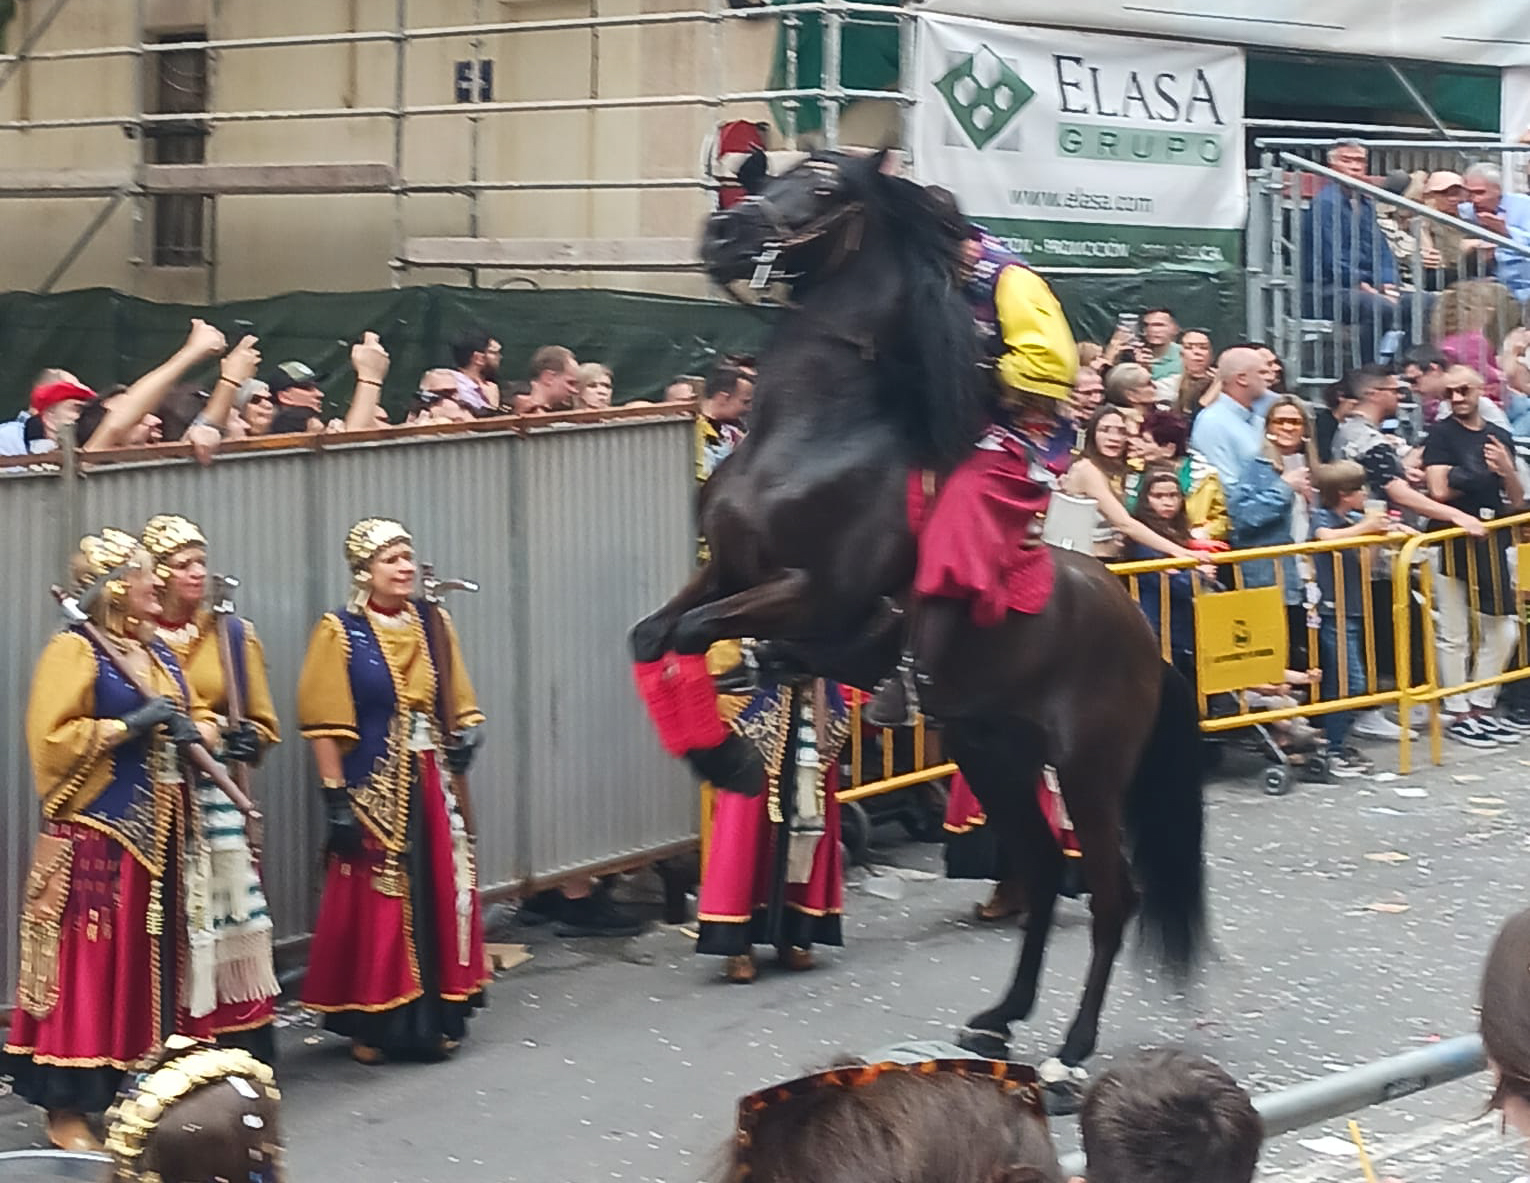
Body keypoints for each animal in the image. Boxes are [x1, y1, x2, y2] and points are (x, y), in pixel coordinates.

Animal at [633, 149, 1205, 1095]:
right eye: (773, 168)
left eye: (825, 188)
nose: (721, 231)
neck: (812, 435)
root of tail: (1143, 634)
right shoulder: (724, 569)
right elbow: (654, 635)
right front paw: (725, 733)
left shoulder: (817, 594)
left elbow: (690, 634)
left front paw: (729, 754)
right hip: (993, 749)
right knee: (1040, 869)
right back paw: (1000, 1018)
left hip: (1087, 767)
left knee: (1111, 892)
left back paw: (1071, 1047)